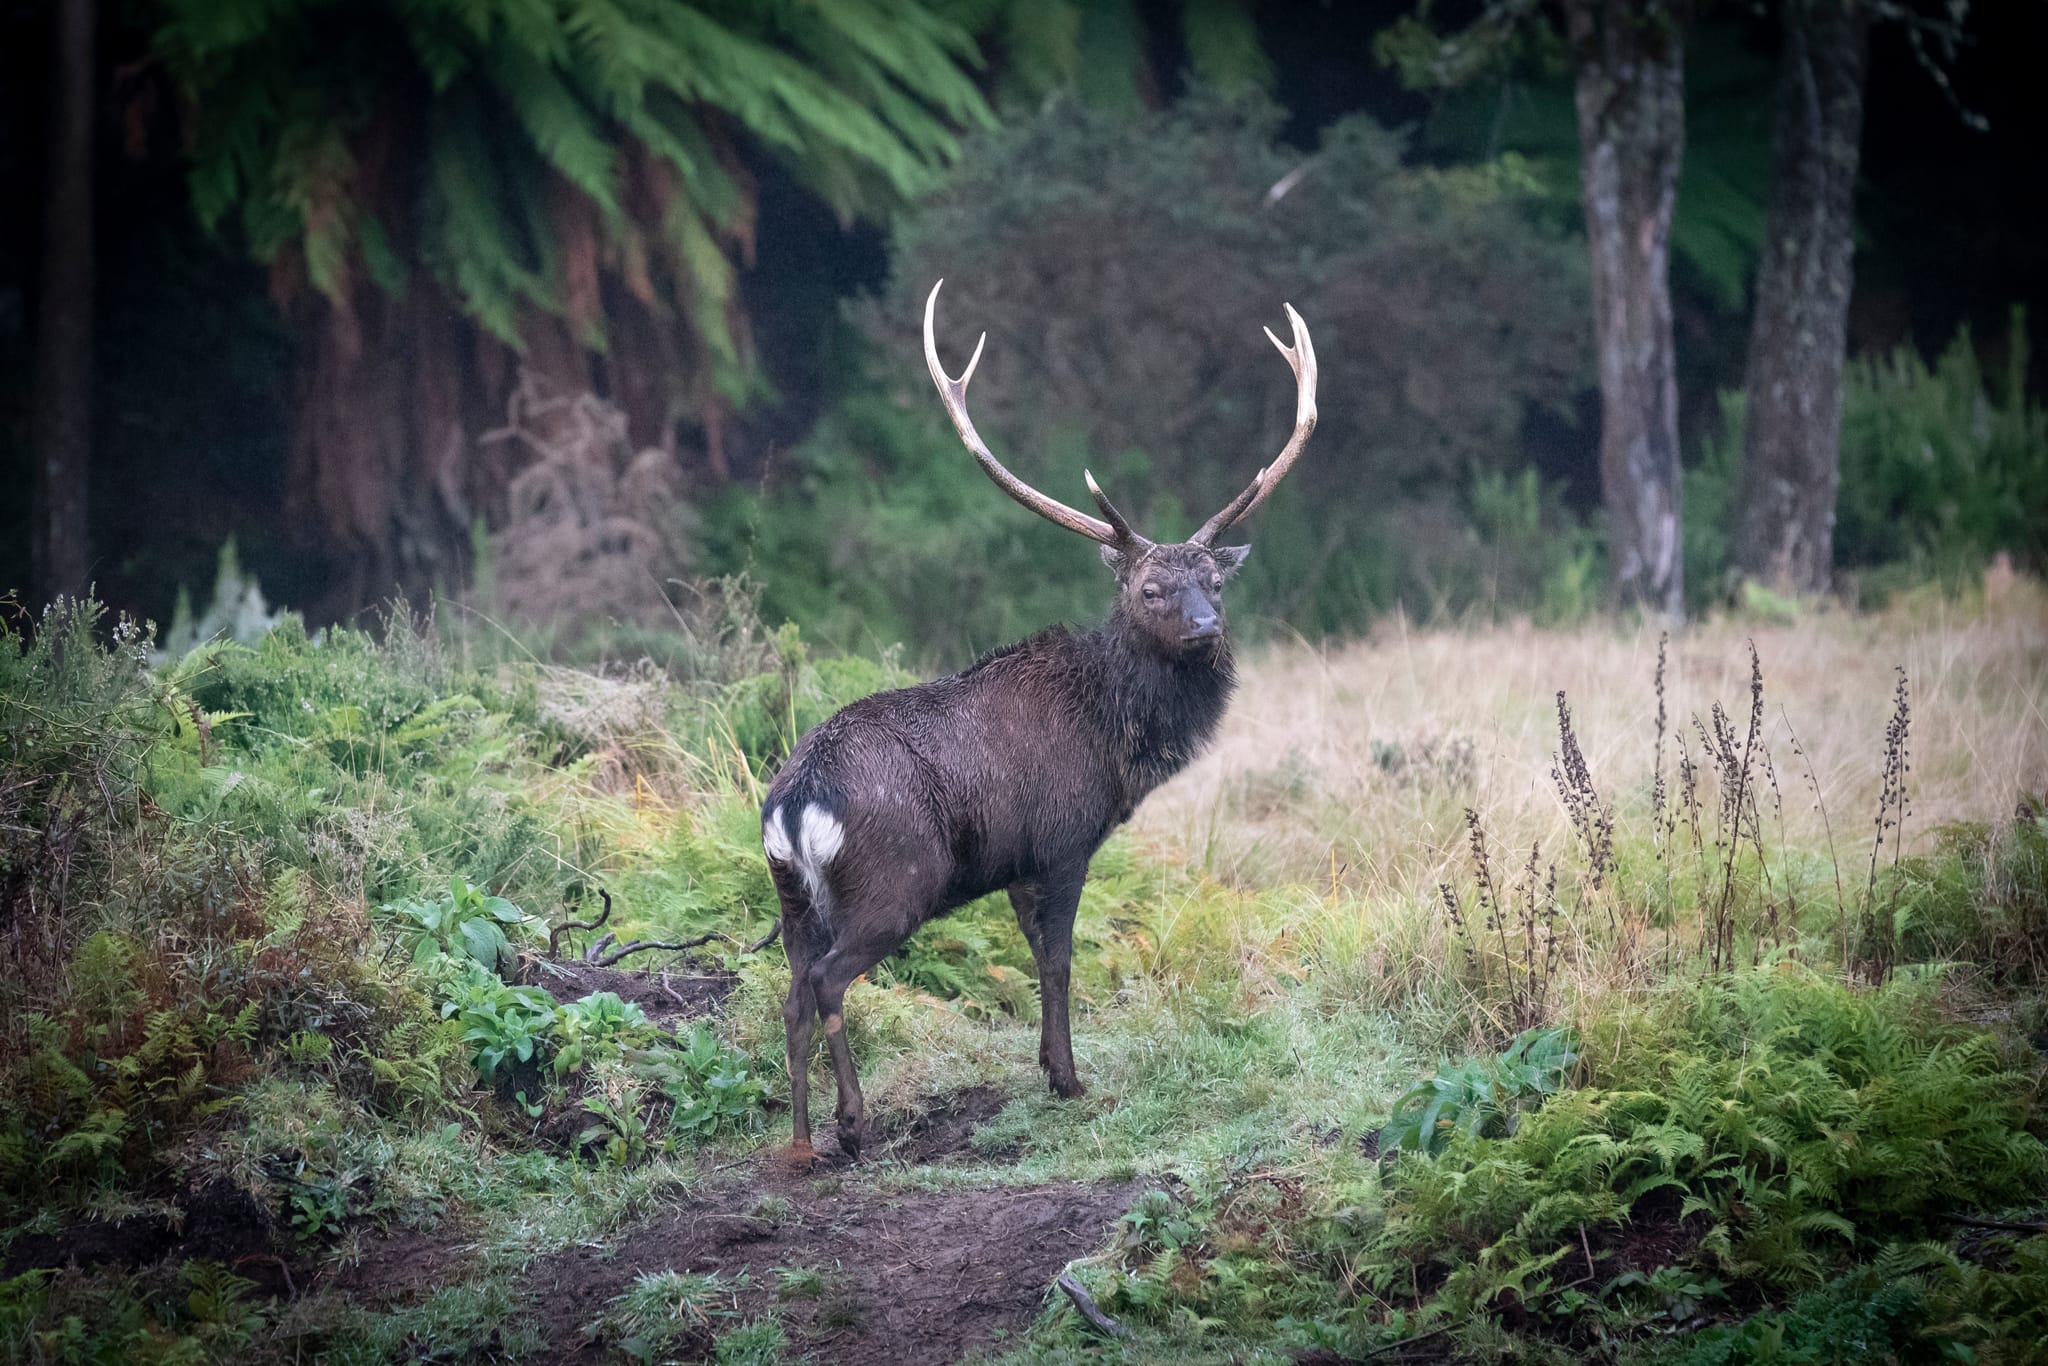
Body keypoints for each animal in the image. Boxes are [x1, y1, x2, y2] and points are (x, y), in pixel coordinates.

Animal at [761, 280, 1318, 1163]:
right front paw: (1069, 1079)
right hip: (894, 882)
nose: (1206, 630)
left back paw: (802, 1140)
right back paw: (853, 1124)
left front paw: (1050, 1068)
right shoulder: (1061, 840)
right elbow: (1056, 964)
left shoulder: (1020, 864)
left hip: (790, 899)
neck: (1116, 742)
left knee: (787, 993)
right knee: (827, 981)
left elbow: (1034, 962)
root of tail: (792, 803)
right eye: (1150, 589)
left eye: (1215, 584)